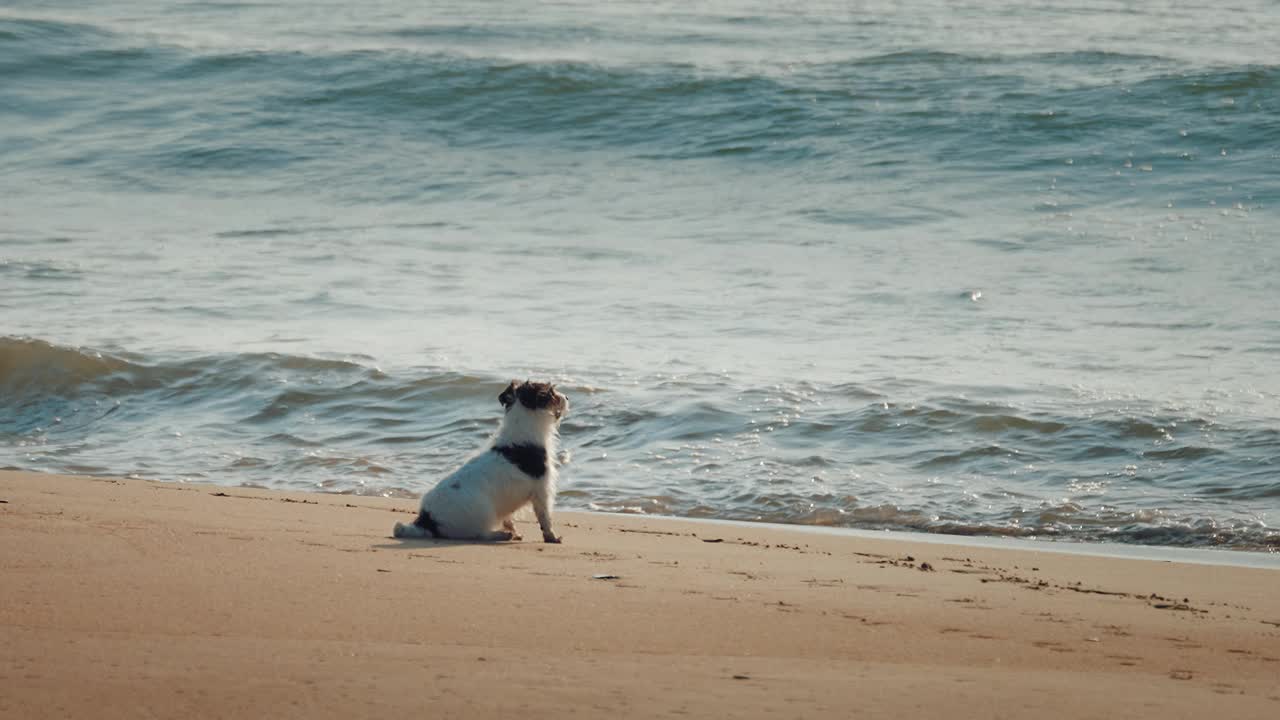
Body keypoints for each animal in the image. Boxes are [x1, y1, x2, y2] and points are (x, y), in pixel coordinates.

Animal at [391, 379, 568, 540]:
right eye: (551, 392)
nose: (567, 397)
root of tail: (427, 521)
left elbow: (508, 519)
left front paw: (515, 532)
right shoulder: (542, 490)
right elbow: (545, 518)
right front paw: (552, 537)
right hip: (484, 514)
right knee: (480, 534)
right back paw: (501, 535)